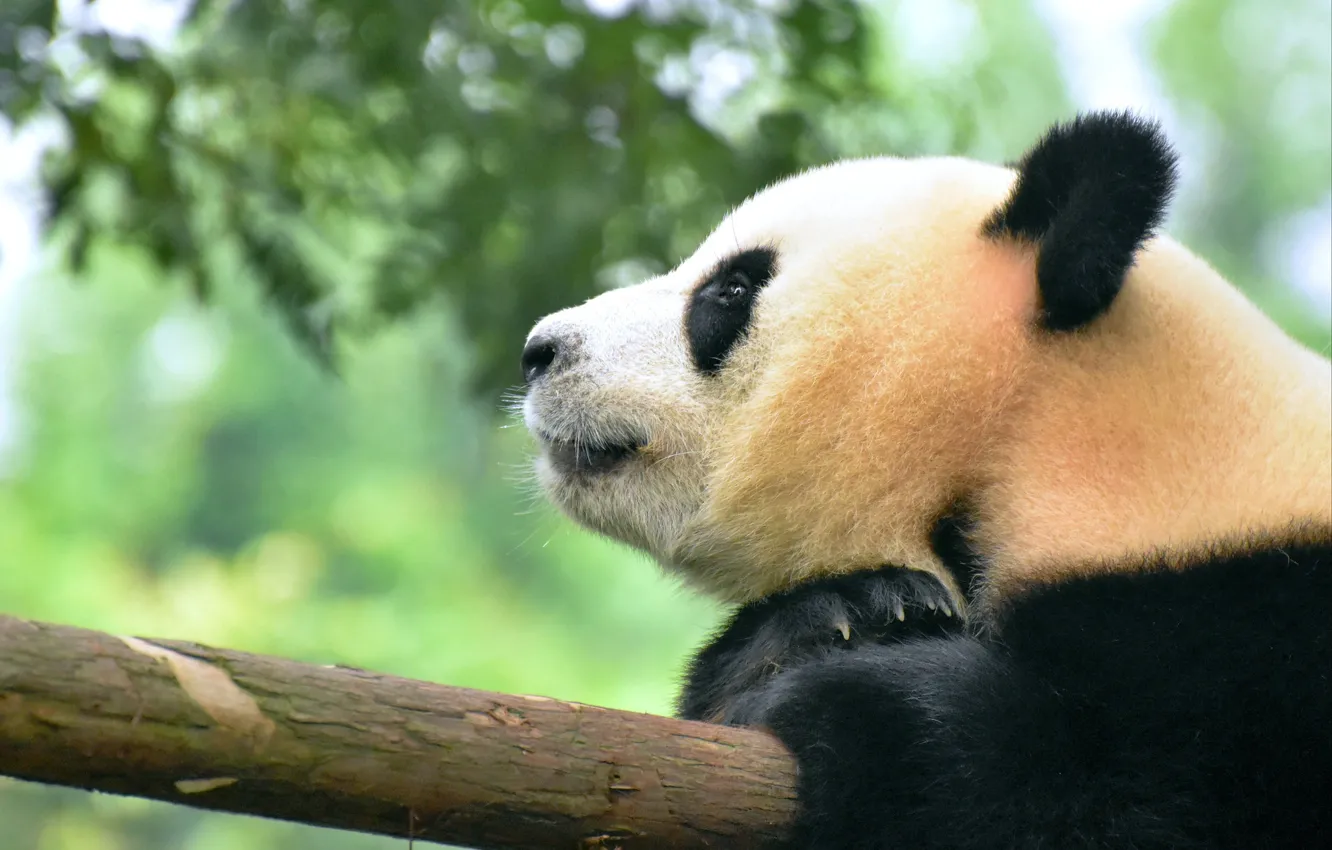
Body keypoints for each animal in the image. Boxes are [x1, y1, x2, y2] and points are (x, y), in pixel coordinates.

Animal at [519, 112, 1331, 848]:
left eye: (733, 288)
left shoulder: (1234, 636)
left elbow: (1098, 785)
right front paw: (853, 615)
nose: (538, 351)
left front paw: (857, 707)